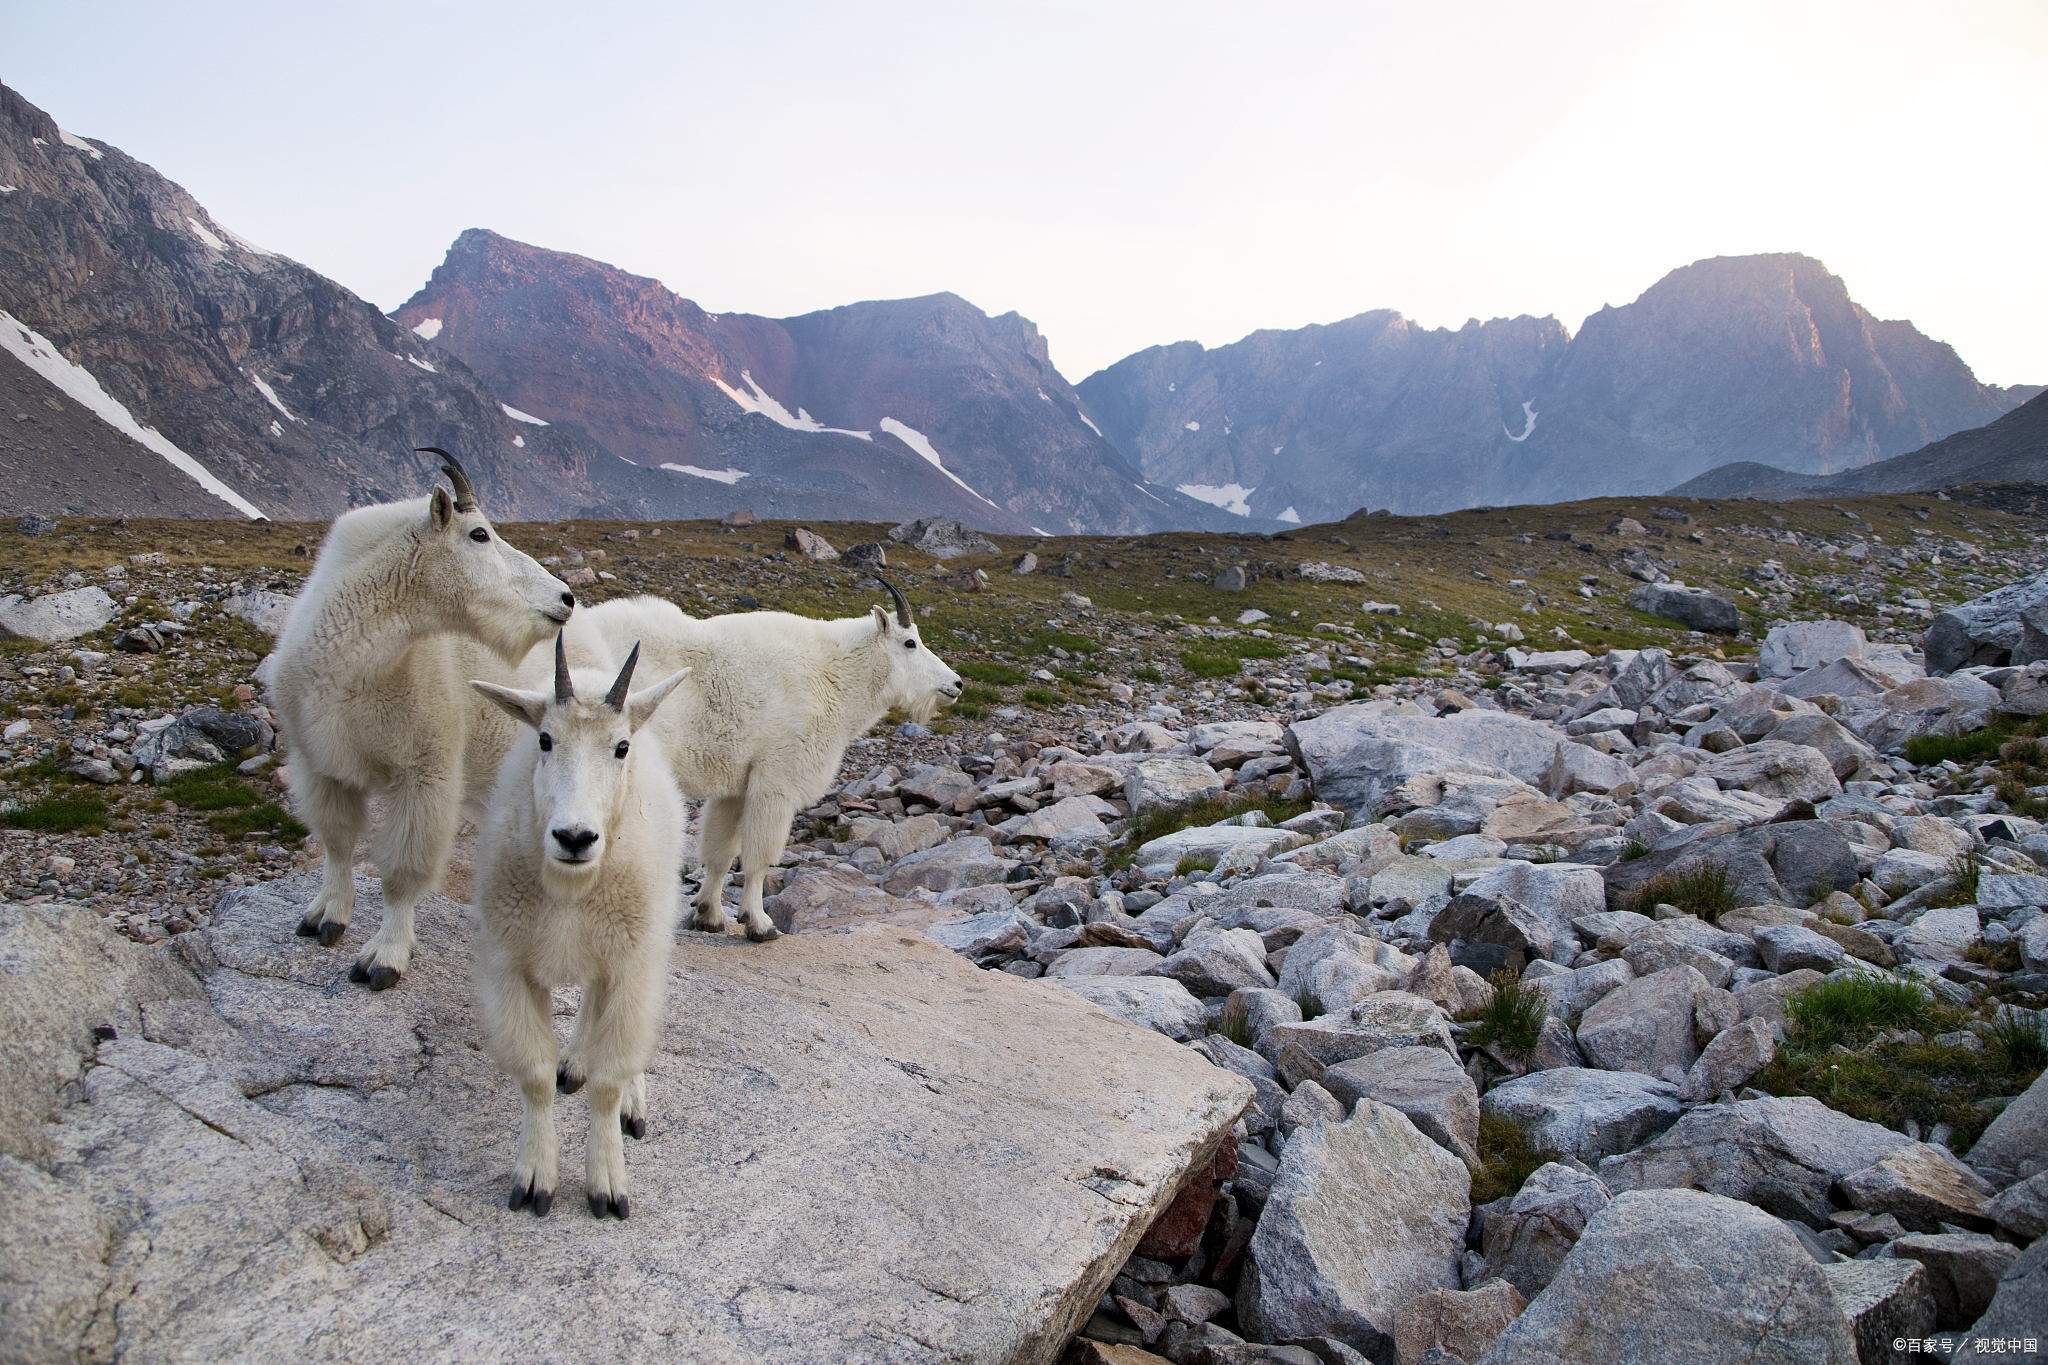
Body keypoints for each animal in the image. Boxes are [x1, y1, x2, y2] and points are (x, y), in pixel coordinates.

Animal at [270, 450, 577, 994]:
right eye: (479, 534)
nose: (565, 597)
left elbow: (401, 871)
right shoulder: (320, 763)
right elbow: (336, 840)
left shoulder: (424, 772)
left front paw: (384, 958)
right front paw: (325, 917)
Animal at [468, 634, 692, 1219]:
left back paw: (631, 1101)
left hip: (644, 942)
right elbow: (534, 1078)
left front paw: (608, 1184)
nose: (575, 837)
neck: (571, 890)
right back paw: (572, 1060)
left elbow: (609, 1081)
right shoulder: (510, 966)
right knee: (589, 999)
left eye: (621, 747)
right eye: (545, 739)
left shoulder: (630, 962)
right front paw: (533, 1179)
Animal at [557, 573, 962, 941]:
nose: (956, 684)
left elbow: (720, 851)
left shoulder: (736, 784)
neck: (834, 675)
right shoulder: (776, 777)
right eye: (910, 642)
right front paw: (759, 923)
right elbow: (758, 855)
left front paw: (708, 915)